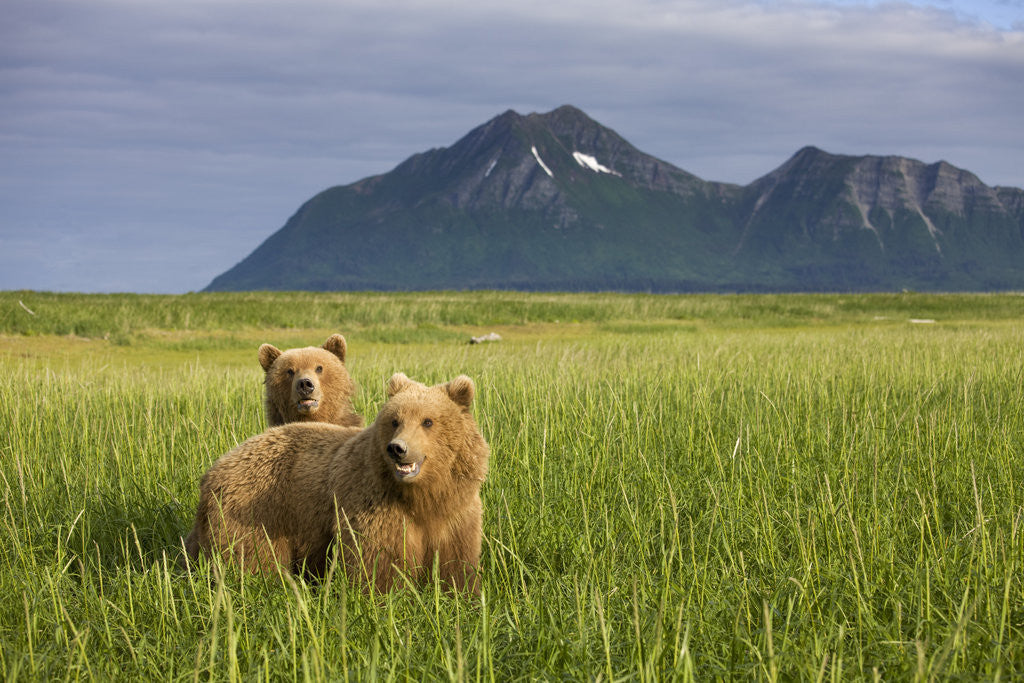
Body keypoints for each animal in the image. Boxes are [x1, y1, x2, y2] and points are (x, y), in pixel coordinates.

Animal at [182, 373, 490, 594]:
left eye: (427, 421)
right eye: (394, 420)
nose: (397, 449)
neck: (423, 496)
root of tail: (213, 470)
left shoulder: (456, 512)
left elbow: (456, 560)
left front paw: (462, 594)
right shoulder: (375, 507)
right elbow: (379, 562)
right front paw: (387, 596)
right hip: (258, 511)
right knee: (253, 557)